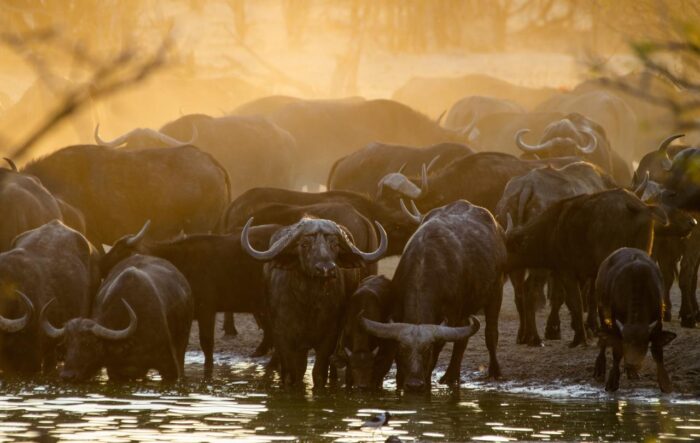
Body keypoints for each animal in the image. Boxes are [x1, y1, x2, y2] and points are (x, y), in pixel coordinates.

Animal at [242, 218, 388, 388]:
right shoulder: (283, 336)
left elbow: (318, 372)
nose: (326, 269)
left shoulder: (330, 335)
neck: (308, 302)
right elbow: (291, 373)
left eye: (334, 244)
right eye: (305, 244)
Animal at [360, 201, 504, 392]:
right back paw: (450, 376)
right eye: (403, 350)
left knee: (491, 333)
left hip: (496, 292)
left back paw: (495, 371)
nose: (414, 384)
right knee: (463, 339)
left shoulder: (450, 317)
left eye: (427, 350)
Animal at [592, 250, 680, 392]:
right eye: (625, 342)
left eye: (643, 344)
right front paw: (612, 380)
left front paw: (665, 382)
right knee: (604, 338)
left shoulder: (658, 319)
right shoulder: (614, 320)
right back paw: (600, 369)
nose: (632, 364)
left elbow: (657, 350)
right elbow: (617, 350)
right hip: (601, 309)